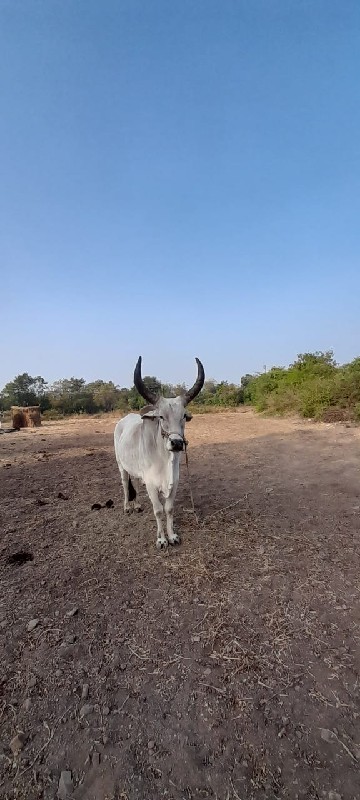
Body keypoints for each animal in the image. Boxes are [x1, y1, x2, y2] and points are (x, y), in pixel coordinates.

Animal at [114, 358, 204, 552]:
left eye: (184, 416)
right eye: (161, 416)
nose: (177, 443)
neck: (164, 460)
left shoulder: (175, 482)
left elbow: (169, 509)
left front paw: (172, 536)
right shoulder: (151, 485)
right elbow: (158, 510)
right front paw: (161, 539)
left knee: (135, 483)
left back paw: (137, 505)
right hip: (121, 465)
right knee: (125, 485)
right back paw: (127, 507)